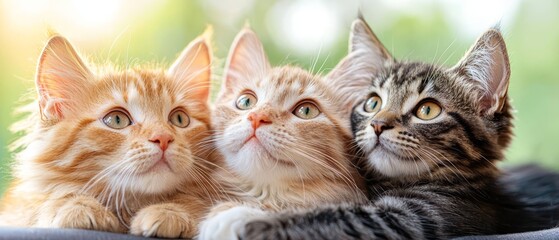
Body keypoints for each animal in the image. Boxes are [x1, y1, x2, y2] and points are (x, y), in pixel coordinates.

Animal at [0, 31, 220, 238]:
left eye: (180, 119)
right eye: (116, 119)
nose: (163, 138)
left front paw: (171, 211)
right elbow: (53, 196)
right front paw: (78, 206)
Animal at [242, 17, 559, 239]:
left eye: (427, 110)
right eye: (372, 103)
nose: (378, 124)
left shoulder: (419, 217)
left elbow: (333, 217)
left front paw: (243, 221)